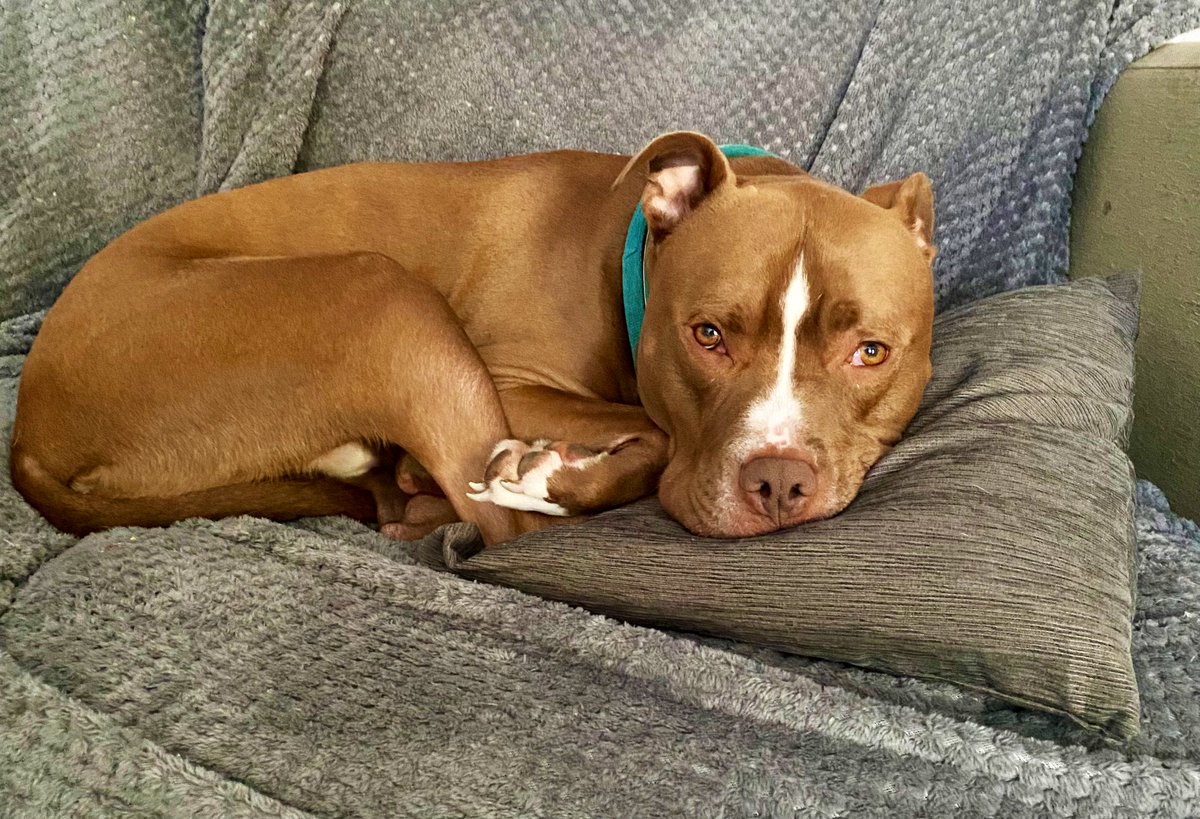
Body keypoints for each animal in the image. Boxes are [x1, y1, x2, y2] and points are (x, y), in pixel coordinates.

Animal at [9, 132, 936, 542]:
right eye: (708, 334)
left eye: (871, 353)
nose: (778, 481)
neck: (629, 253)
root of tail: (28, 427)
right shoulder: (511, 378)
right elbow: (661, 432)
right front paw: (552, 471)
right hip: (380, 295)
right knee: (495, 527)